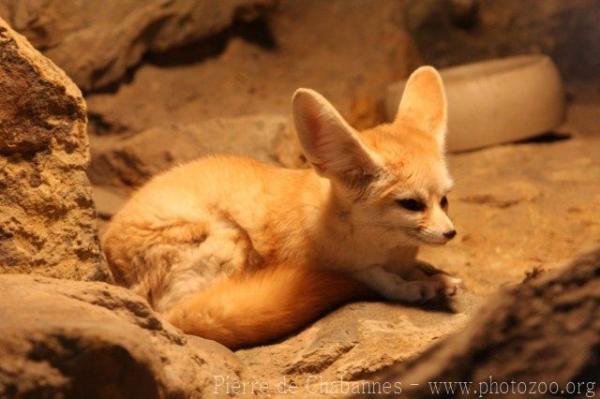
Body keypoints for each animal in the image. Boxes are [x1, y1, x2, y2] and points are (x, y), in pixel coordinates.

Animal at [103, 67, 460, 348]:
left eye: (444, 199)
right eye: (411, 204)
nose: (450, 233)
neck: (389, 247)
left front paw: (436, 277)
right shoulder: (345, 266)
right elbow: (384, 281)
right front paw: (418, 287)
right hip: (228, 241)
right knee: (185, 310)